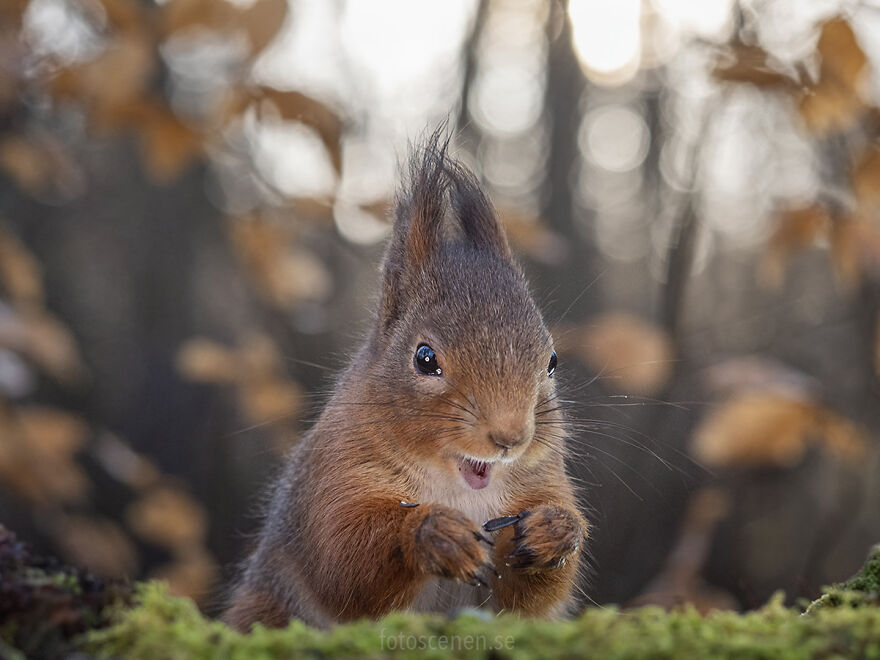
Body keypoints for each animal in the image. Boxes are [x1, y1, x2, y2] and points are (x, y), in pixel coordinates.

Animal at [224, 133, 587, 630]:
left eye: (551, 361)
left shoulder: (542, 482)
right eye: (425, 358)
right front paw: (433, 533)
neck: (458, 488)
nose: (510, 438)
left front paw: (555, 531)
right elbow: (344, 562)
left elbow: (529, 603)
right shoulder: (334, 477)